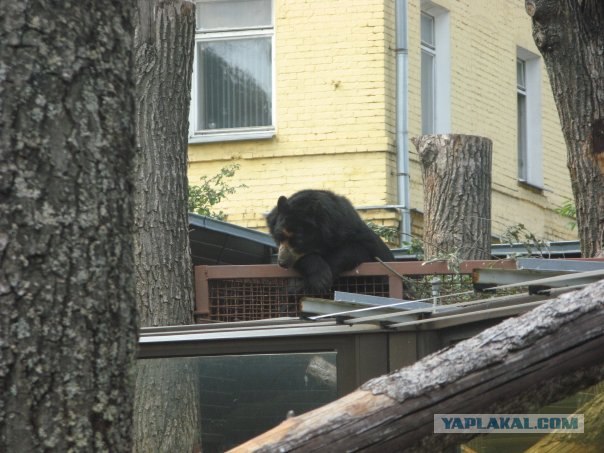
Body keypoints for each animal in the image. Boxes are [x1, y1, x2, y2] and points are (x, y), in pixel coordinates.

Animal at [266, 188, 394, 292]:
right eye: (279, 236)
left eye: (298, 241)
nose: (282, 262)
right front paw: (319, 278)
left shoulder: (350, 230)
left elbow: (357, 250)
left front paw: (322, 280)